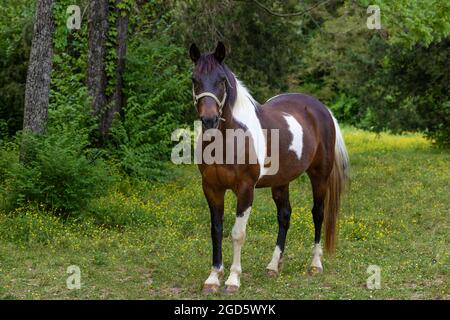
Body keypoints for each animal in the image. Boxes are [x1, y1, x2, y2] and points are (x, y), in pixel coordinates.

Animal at [188, 42, 350, 296]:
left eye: (222, 80)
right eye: (195, 79)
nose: (209, 120)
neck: (229, 138)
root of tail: (321, 109)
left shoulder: (245, 189)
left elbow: (237, 234)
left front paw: (233, 280)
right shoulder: (211, 188)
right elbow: (216, 230)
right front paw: (213, 278)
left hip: (319, 176)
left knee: (318, 213)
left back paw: (315, 264)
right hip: (281, 182)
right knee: (284, 216)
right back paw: (273, 266)